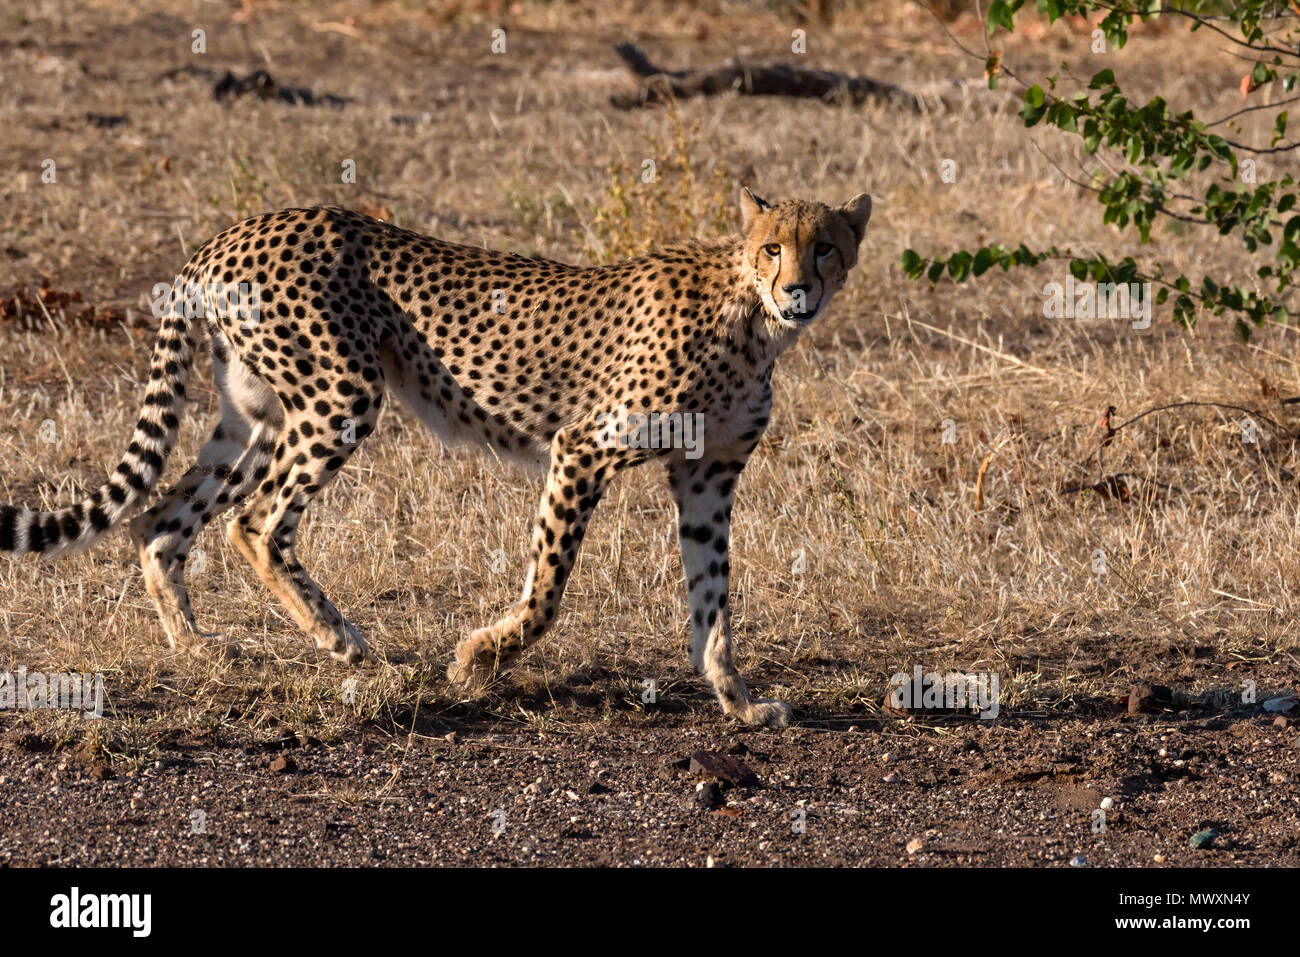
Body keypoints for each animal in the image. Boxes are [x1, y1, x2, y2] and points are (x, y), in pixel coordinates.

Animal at [5, 184, 873, 722]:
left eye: (826, 247)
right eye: (772, 248)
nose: (798, 289)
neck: (754, 323)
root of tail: (233, 231)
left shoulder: (707, 476)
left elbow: (713, 597)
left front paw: (738, 699)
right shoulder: (583, 447)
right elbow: (548, 591)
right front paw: (479, 658)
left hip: (254, 412)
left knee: (162, 519)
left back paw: (198, 648)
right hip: (341, 395)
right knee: (256, 522)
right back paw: (349, 648)